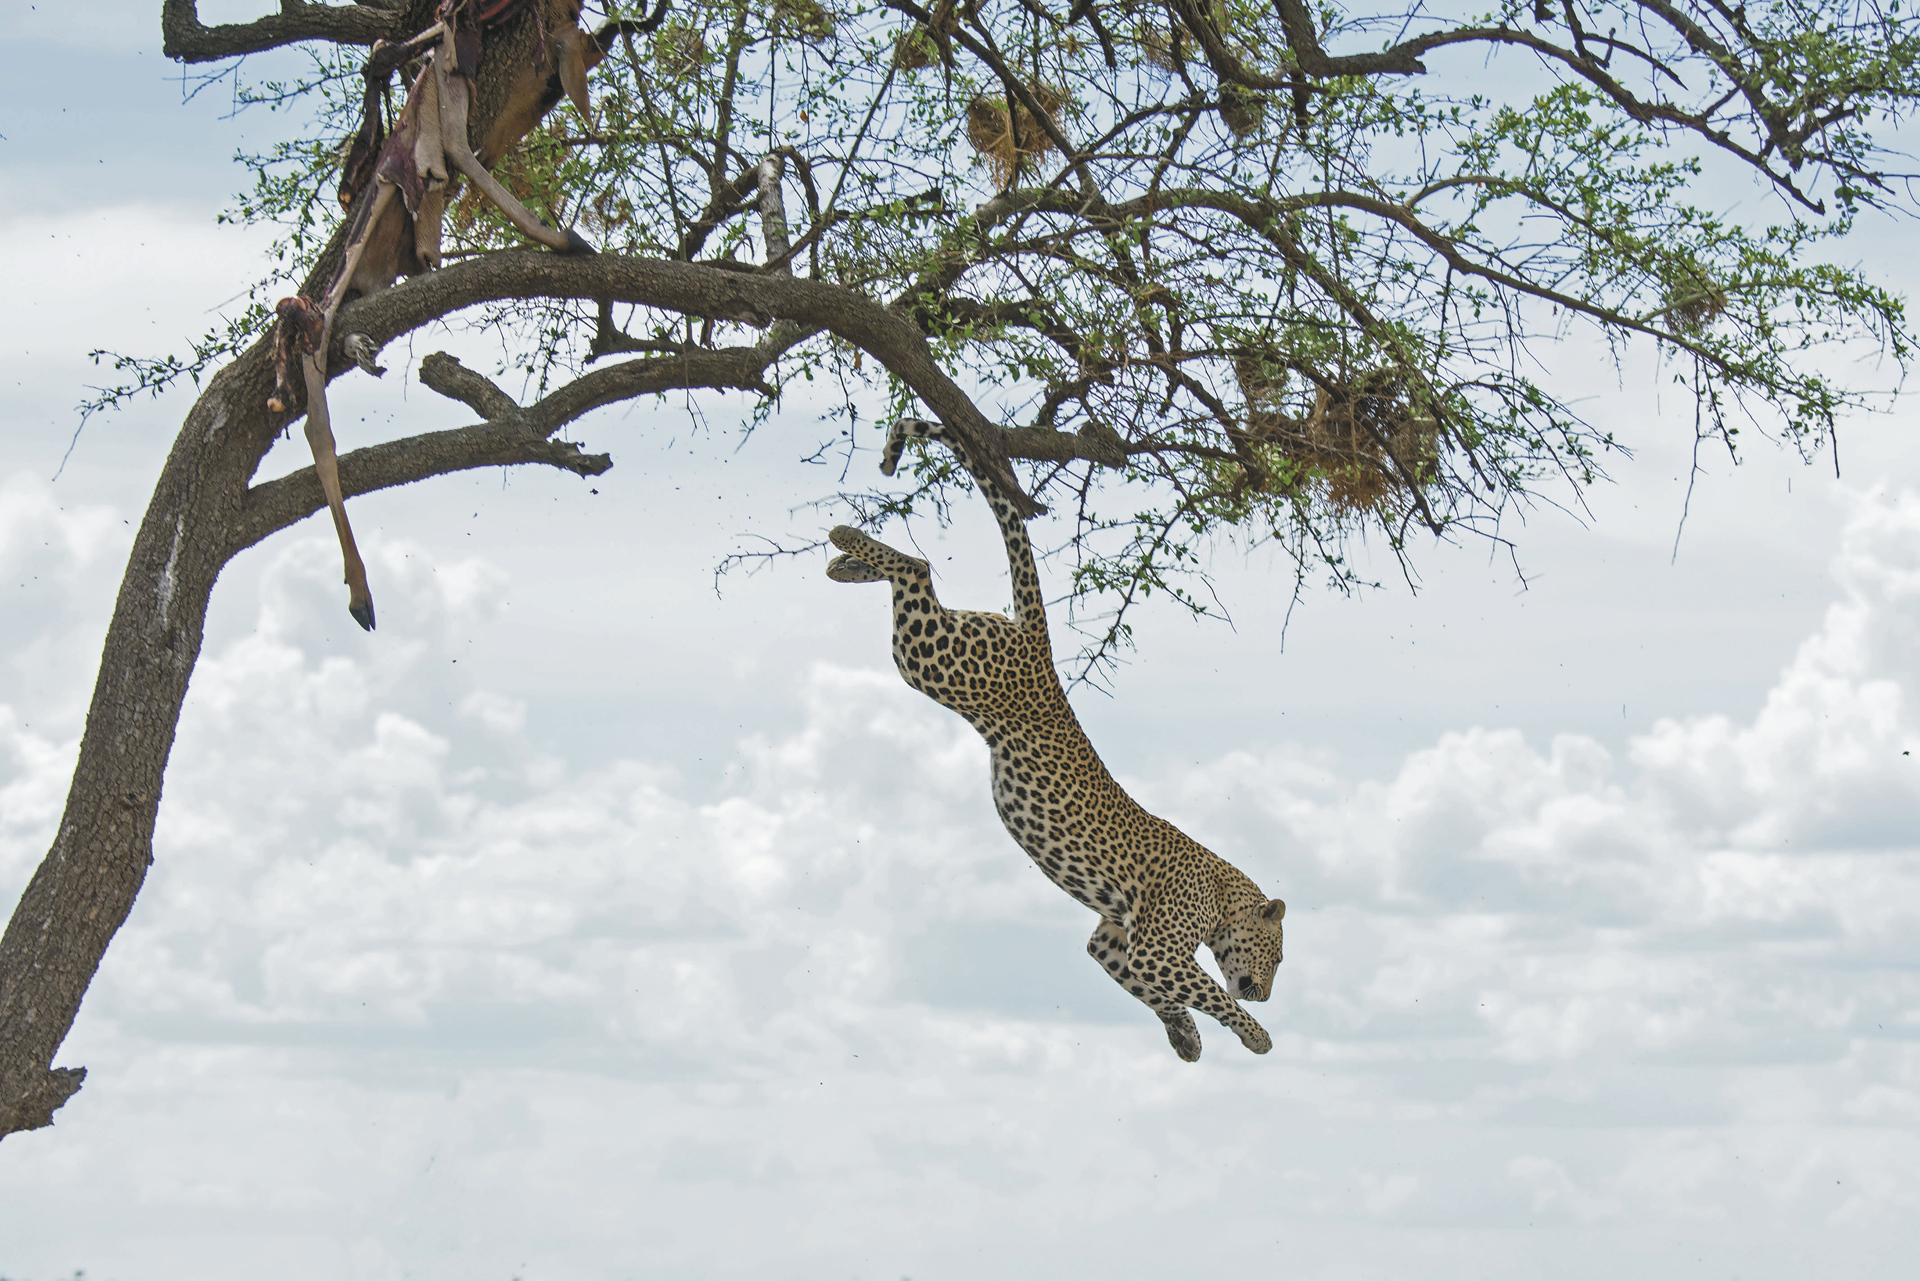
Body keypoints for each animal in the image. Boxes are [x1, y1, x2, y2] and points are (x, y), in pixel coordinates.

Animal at [825, 420, 1290, 1060]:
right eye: (1276, 956)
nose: (1266, 994)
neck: (1222, 893)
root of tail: (1040, 647)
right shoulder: (1157, 947)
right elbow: (1211, 991)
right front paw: (1256, 1034)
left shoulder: (1115, 941)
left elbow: (1159, 992)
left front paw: (1185, 1037)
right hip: (937, 660)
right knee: (918, 566)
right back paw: (846, 537)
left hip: (940, 650)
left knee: (914, 579)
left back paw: (842, 563)